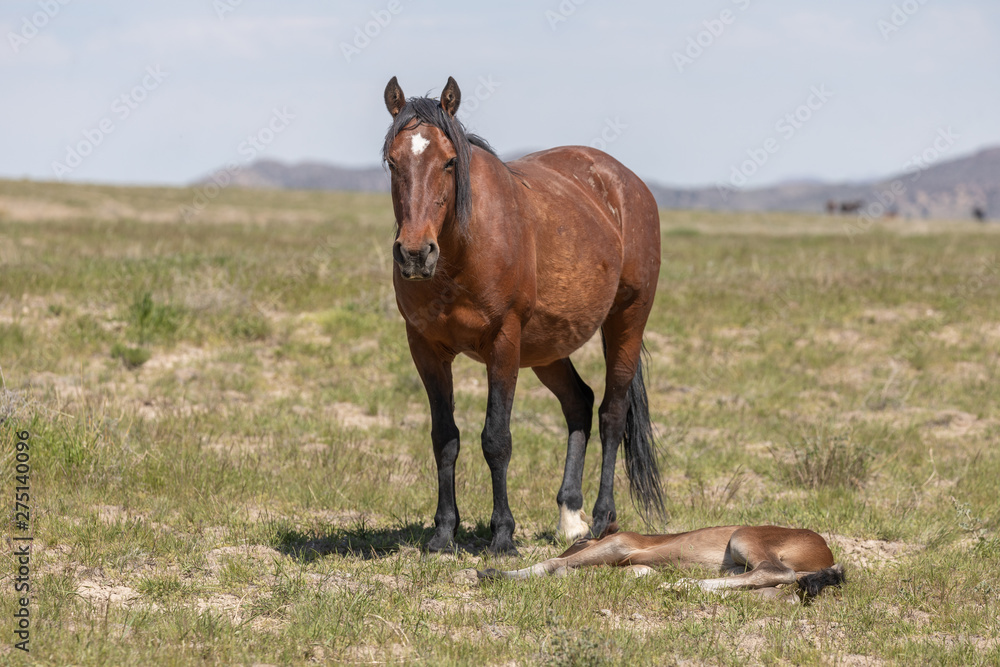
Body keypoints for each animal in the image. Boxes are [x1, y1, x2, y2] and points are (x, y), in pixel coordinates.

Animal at [382, 76, 663, 555]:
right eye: (391, 160)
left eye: (449, 162)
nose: (416, 254)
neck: (463, 249)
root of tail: (626, 183)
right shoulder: (426, 348)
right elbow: (445, 438)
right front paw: (443, 534)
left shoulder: (504, 342)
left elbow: (496, 439)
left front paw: (502, 535)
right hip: (547, 348)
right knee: (579, 402)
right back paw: (570, 518)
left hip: (626, 322)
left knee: (611, 413)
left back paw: (602, 519)